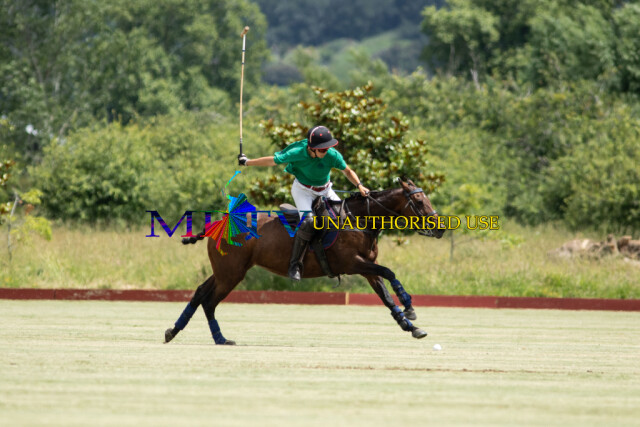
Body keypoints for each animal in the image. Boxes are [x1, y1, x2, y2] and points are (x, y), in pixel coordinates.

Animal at [164, 177, 445, 345]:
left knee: (200, 293)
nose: (441, 228)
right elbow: (389, 272)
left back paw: (173, 331)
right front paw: (409, 306)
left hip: (225, 271)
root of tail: (218, 223)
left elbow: (385, 296)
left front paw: (411, 326)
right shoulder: (352, 263)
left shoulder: (367, 269)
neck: (360, 219)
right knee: (209, 301)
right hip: (231, 274)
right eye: (418, 200)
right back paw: (220, 339)